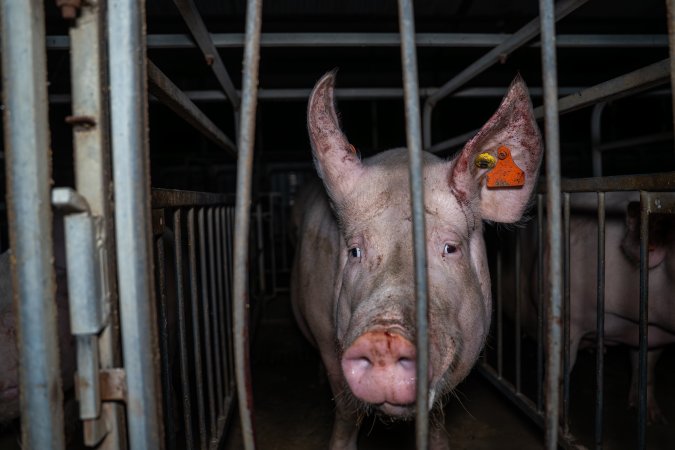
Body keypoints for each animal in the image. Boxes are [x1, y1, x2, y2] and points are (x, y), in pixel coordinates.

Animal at [290, 71, 544, 450]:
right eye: (354, 252)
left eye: (450, 248)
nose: (384, 339)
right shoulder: (325, 333)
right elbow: (347, 409)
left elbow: (436, 416)